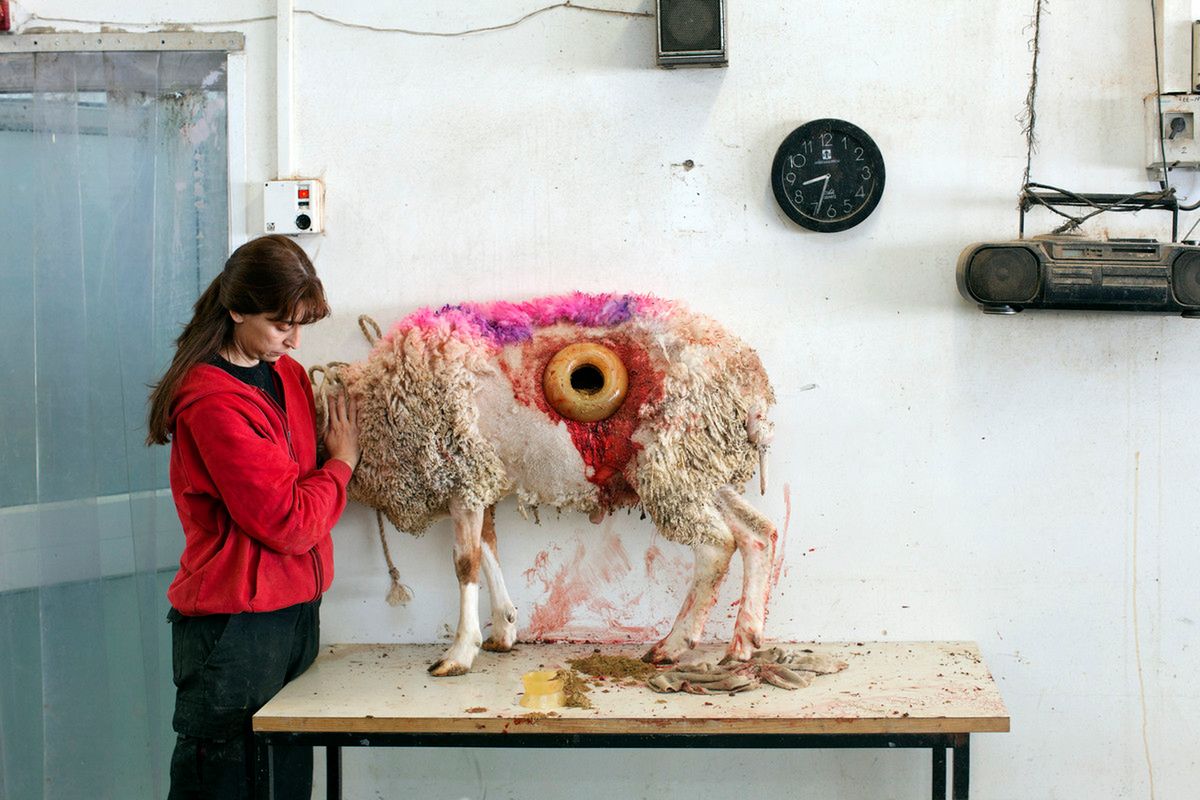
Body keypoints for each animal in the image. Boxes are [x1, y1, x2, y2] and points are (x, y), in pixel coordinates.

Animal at [321, 293, 777, 676]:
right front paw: (503, 630)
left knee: (717, 545)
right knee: (757, 534)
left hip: (671, 462)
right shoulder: (482, 480)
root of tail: (751, 385)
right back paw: (743, 643)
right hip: (701, 467)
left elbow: (465, 563)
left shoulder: (463, 476)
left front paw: (459, 654)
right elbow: (489, 548)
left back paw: (674, 645)